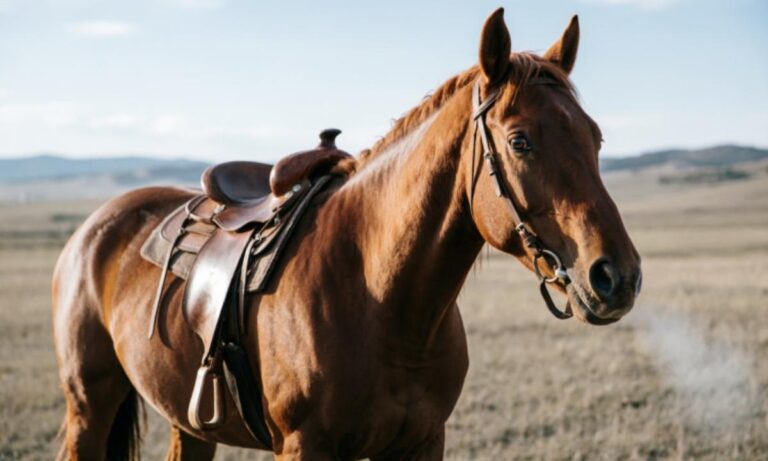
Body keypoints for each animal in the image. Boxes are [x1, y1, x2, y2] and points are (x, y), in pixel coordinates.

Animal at [52, 8, 641, 460]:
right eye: (520, 141)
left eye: (595, 137)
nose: (617, 277)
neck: (380, 299)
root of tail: (92, 230)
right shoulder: (304, 446)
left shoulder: (424, 443)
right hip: (89, 407)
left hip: (188, 421)